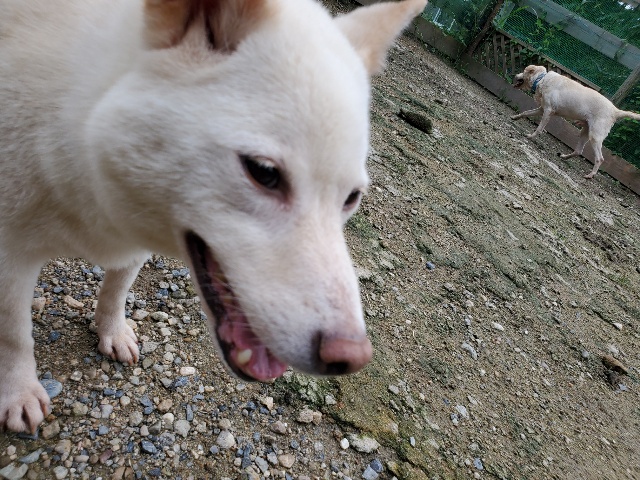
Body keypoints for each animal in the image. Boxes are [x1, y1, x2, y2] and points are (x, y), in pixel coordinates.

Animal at [0, 0, 427, 433]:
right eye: (264, 172)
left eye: (351, 198)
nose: (350, 358)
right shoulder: (10, 255)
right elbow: (14, 335)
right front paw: (19, 392)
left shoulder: (134, 237)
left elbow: (117, 289)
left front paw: (112, 331)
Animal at [511, 65, 640, 179]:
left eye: (523, 71)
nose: (515, 75)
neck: (541, 79)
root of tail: (615, 111)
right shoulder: (541, 109)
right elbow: (526, 112)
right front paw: (514, 117)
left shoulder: (547, 111)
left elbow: (539, 129)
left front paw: (530, 136)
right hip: (585, 131)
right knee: (578, 151)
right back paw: (564, 157)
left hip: (595, 137)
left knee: (600, 158)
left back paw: (590, 175)